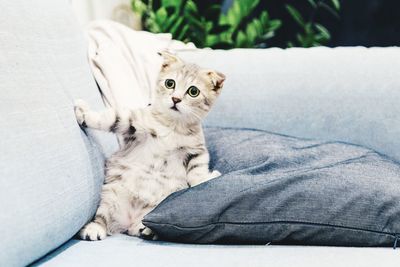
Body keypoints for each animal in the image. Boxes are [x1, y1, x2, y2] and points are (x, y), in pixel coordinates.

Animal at [75, 51, 225, 242]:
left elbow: (197, 170)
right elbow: (111, 119)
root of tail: (129, 221)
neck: (172, 126)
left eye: (193, 91)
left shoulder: (196, 150)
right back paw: (94, 229)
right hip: (112, 195)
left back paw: (146, 230)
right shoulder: (134, 124)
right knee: (102, 217)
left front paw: (204, 178)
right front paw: (83, 113)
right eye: (170, 83)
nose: (175, 99)